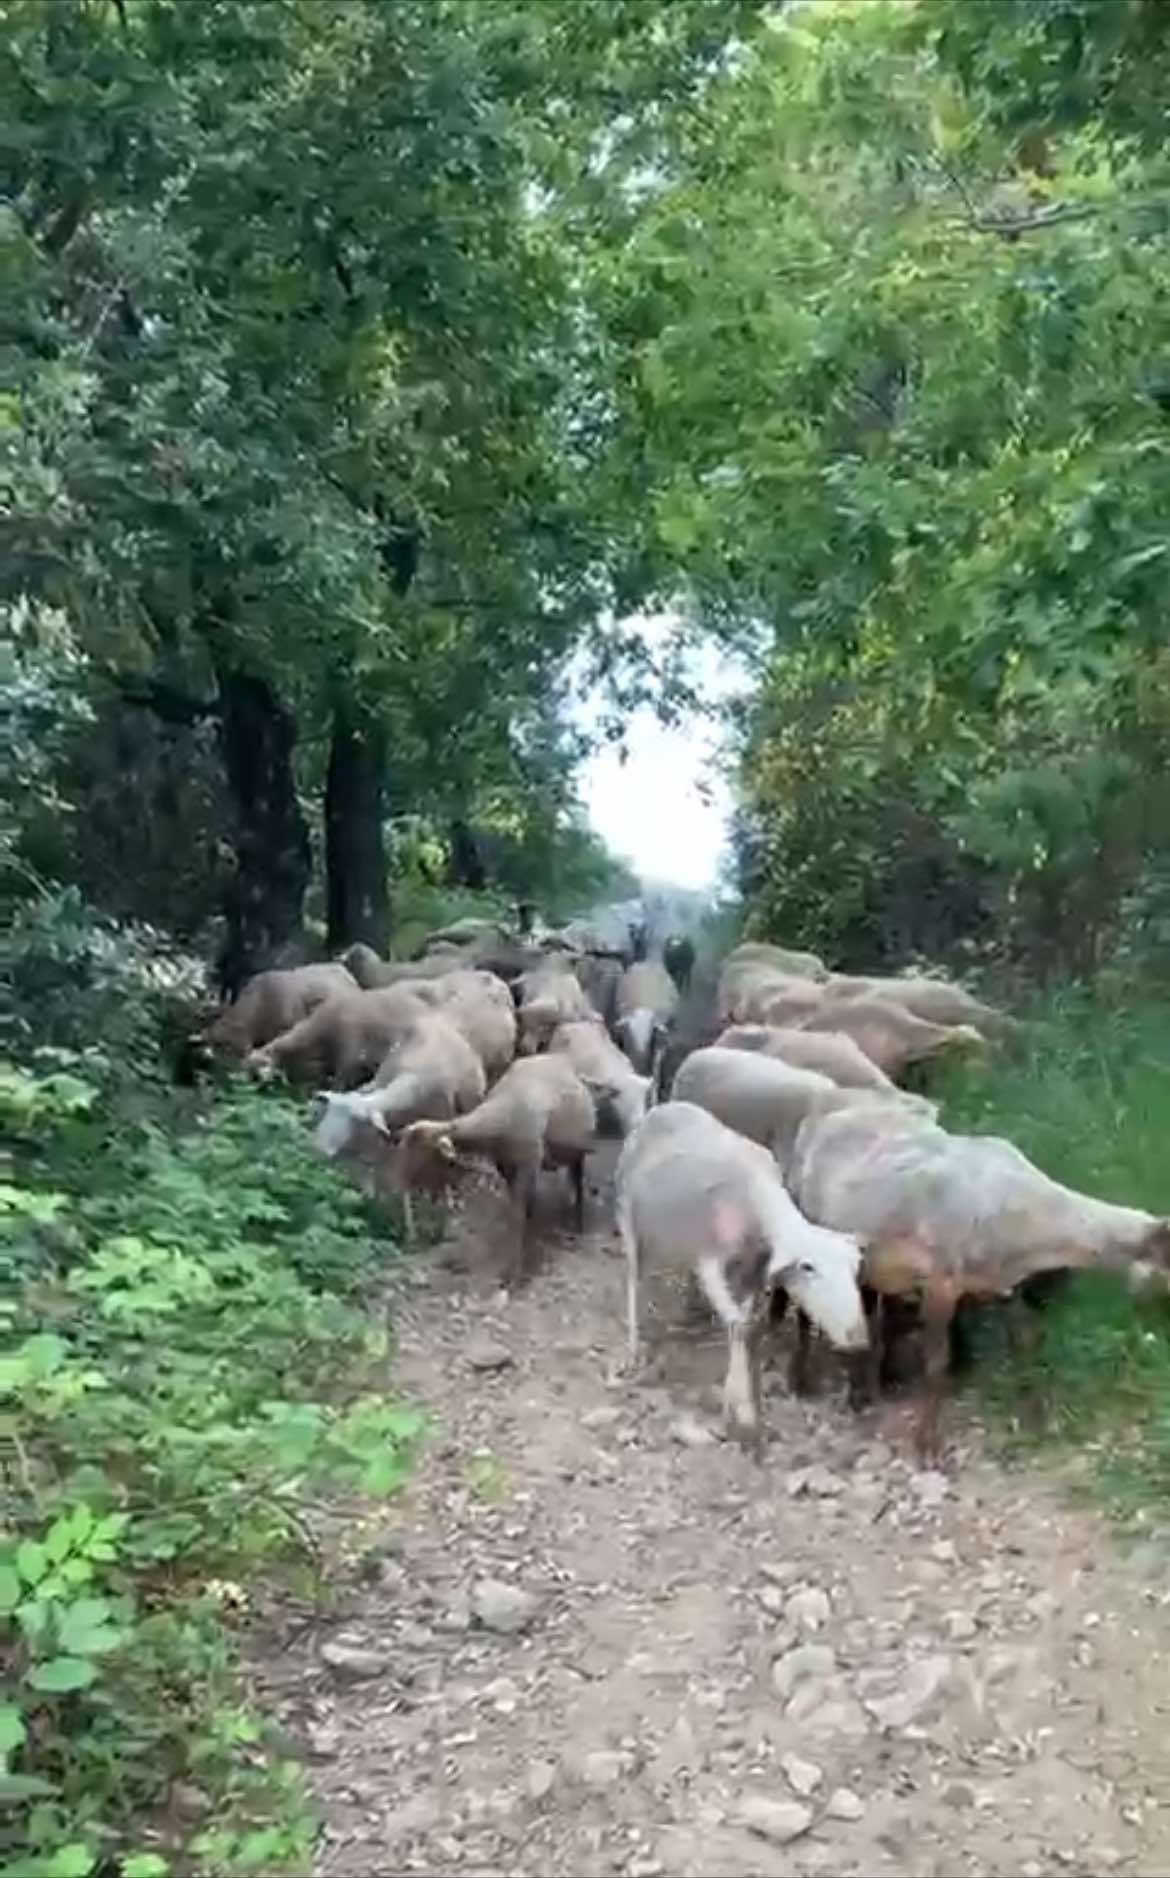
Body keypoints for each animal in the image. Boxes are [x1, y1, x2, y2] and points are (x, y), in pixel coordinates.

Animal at [400, 1051, 600, 1284]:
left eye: (419, 1152)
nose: (398, 1182)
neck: (500, 1116)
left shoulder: (528, 1165)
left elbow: (517, 1215)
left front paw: (513, 1271)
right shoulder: (505, 1165)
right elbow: (516, 1208)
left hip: (579, 1151)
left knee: (578, 1178)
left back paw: (577, 1223)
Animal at [619, 1096, 863, 1449]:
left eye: (854, 1268)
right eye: (808, 1267)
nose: (859, 1337)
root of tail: (662, 1107)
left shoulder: (752, 1274)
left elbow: (744, 1326)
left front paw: (735, 1400)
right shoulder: (710, 1263)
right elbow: (739, 1326)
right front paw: (745, 1412)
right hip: (628, 1217)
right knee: (634, 1280)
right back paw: (634, 1346)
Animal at [788, 1104, 1170, 1457]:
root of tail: (823, 1117)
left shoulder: (1004, 1283)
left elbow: (1024, 1344)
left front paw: (1037, 1419)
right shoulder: (940, 1281)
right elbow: (936, 1364)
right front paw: (927, 1444)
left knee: (864, 1309)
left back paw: (863, 1389)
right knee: (804, 1310)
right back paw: (804, 1381)